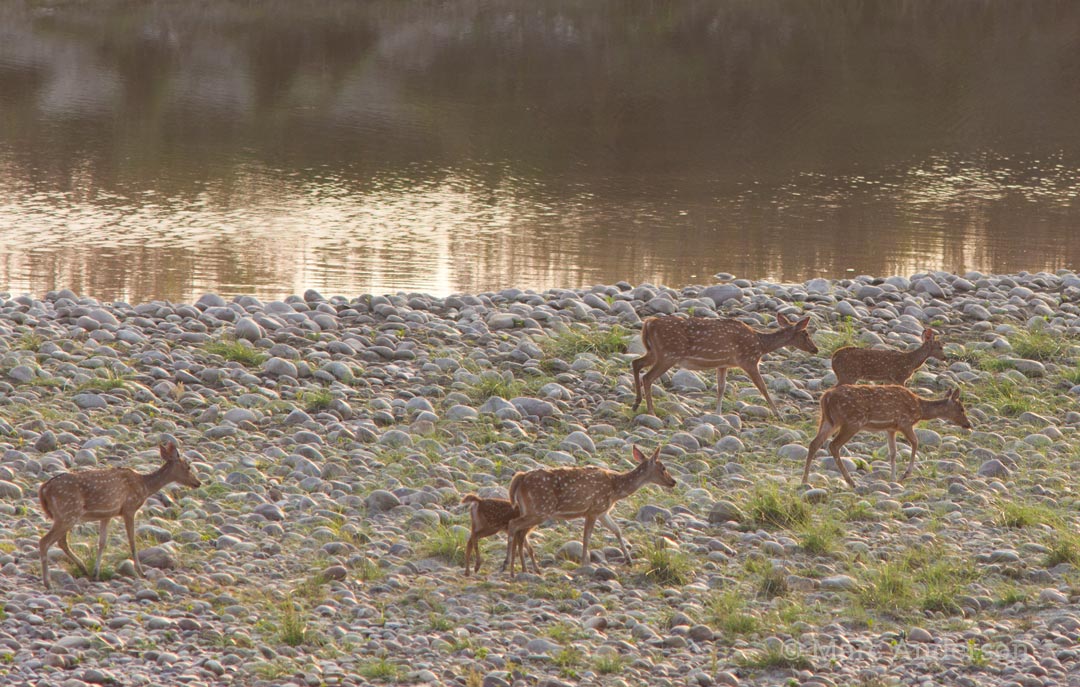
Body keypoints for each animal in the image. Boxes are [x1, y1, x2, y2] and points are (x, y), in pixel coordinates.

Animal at [38, 440, 202, 589]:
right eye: (188, 467)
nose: (198, 483)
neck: (144, 487)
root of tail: (44, 489)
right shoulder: (129, 508)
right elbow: (132, 541)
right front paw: (141, 572)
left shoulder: (107, 514)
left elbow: (102, 543)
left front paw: (96, 573)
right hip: (68, 513)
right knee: (45, 541)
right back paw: (48, 582)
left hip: (66, 515)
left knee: (61, 542)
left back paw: (83, 568)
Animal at [505, 445, 677, 575]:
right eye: (663, 468)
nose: (673, 481)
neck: (616, 489)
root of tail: (520, 477)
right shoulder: (593, 509)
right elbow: (587, 537)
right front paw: (584, 563)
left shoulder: (602, 512)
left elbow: (617, 530)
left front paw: (629, 560)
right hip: (540, 509)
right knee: (514, 525)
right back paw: (508, 565)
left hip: (530, 509)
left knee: (521, 533)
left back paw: (526, 569)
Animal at [631, 312, 817, 417]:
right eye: (806, 334)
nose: (815, 349)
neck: (760, 345)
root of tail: (649, 323)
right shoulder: (748, 360)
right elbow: (762, 387)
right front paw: (778, 414)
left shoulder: (723, 364)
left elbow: (721, 388)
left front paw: (718, 413)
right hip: (668, 354)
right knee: (647, 377)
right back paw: (650, 411)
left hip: (655, 352)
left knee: (635, 363)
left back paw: (636, 403)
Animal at [801, 385, 972, 489]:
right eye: (962, 409)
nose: (968, 424)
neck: (920, 410)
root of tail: (825, 397)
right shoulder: (904, 422)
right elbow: (915, 443)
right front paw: (904, 475)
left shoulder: (891, 428)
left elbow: (893, 452)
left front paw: (893, 479)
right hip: (852, 421)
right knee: (833, 445)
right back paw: (851, 482)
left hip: (829, 421)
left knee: (814, 443)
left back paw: (805, 480)